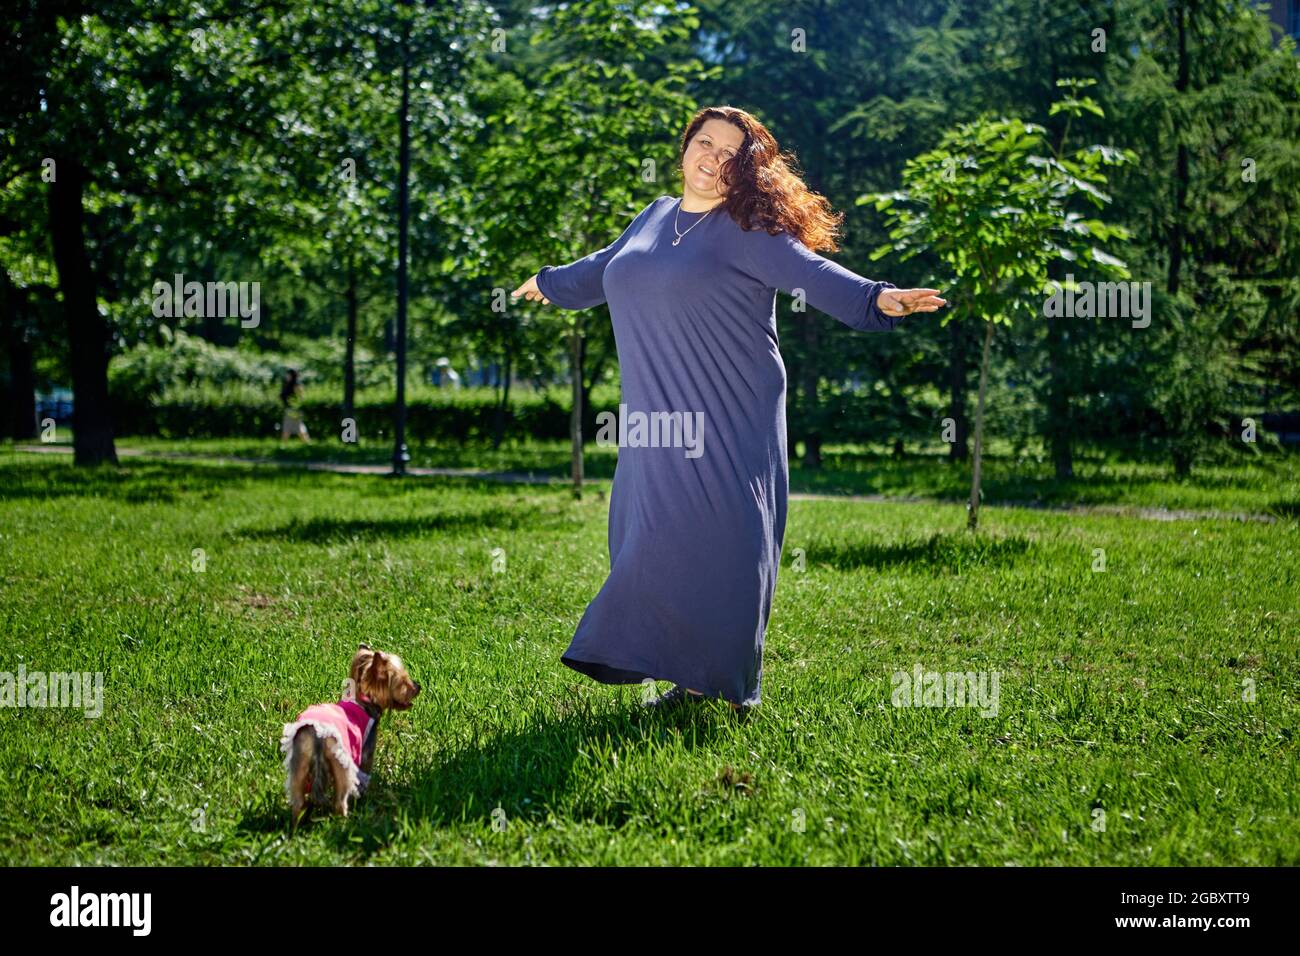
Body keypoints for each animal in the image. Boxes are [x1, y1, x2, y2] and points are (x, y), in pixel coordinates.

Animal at [279, 647, 421, 827]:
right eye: (404, 682)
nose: (418, 686)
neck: (365, 699)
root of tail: (318, 736)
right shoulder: (366, 754)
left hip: (300, 761)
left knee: (298, 802)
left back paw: (296, 828)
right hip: (342, 764)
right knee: (340, 801)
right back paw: (343, 821)